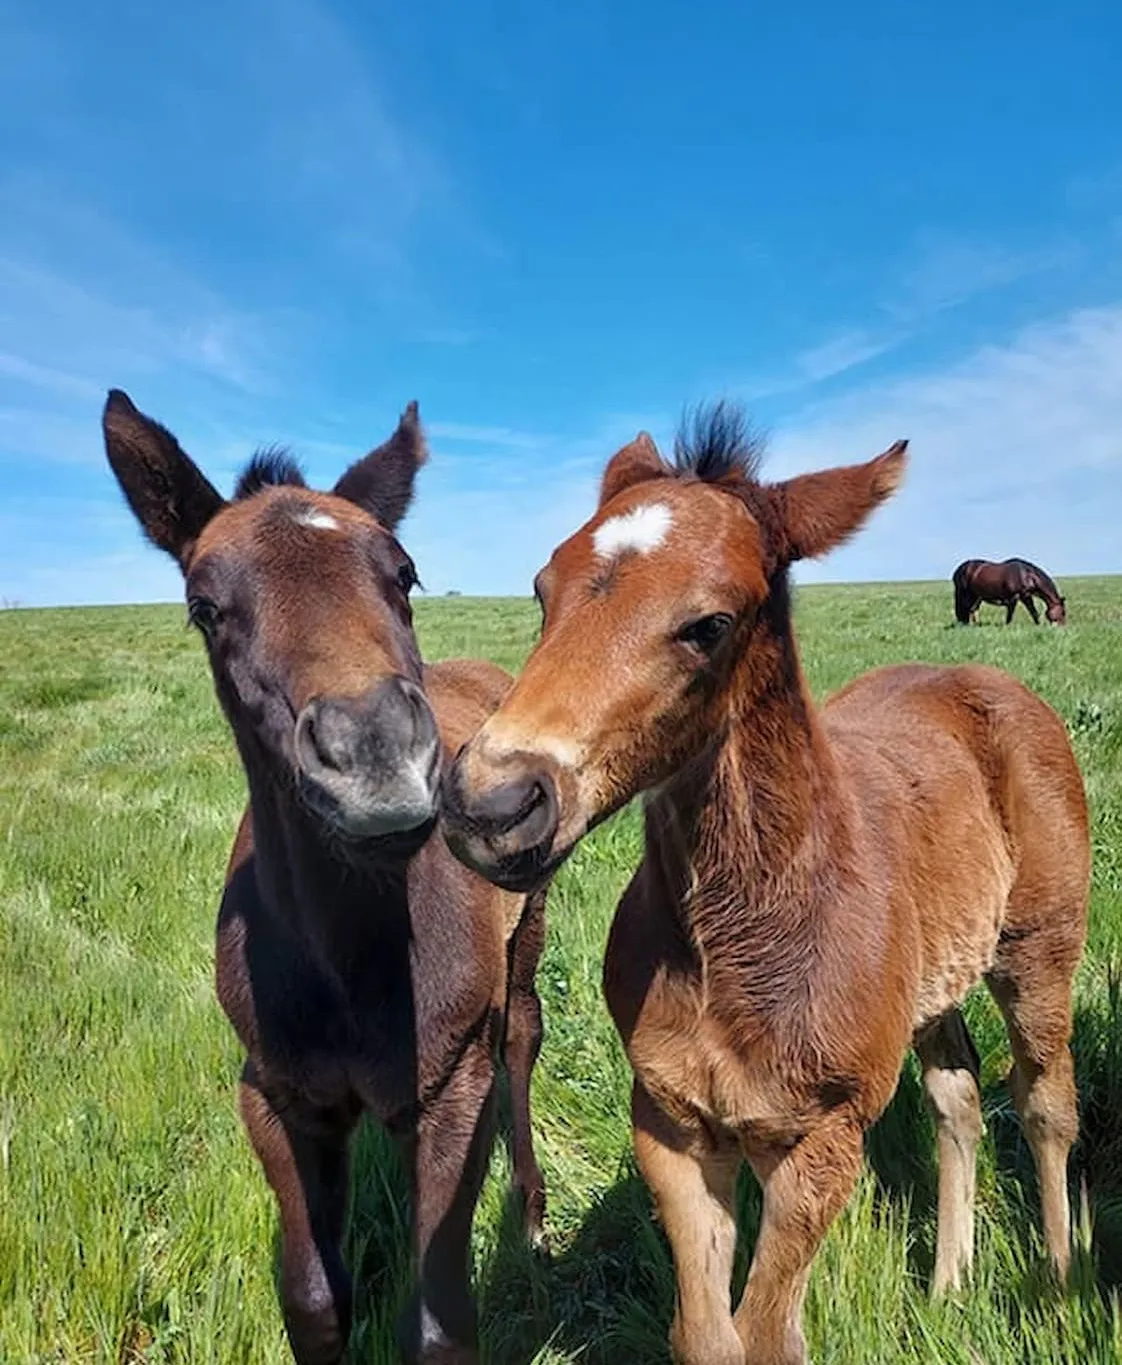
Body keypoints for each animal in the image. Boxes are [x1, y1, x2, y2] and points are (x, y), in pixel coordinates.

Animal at [101, 390, 548, 1365]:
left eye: (405, 574)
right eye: (204, 607)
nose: (377, 756)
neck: (352, 958)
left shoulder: (450, 1094)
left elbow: (439, 1320)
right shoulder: (275, 1096)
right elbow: (313, 1295)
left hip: (529, 919)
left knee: (524, 1034)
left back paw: (533, 1213)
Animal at [440, 405, 1089, 1365]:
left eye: (709, 624)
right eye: (542, 589)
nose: (491, 803)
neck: (742, 938)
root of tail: (988, 678)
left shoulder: (823, 1138)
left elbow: (769, 1334)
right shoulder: (670, 1125)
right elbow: (707, 1334)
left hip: (1041, 949)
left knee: (1045, 1102)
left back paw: (1057, 1279)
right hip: (932, 982)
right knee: (959, 1098)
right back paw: (947, 1283)